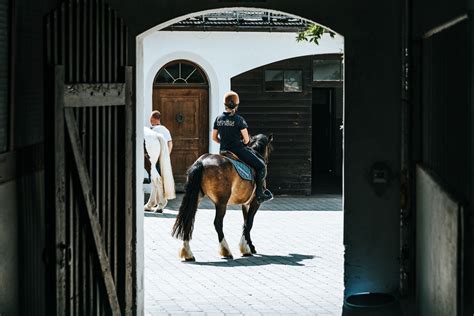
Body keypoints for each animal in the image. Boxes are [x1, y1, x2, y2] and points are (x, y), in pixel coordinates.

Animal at [170, 132, 274, 260]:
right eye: (270, 149)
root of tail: (201, 162)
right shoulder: (255, 202)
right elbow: (249, 223)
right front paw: (246, 248)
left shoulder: (245, 204)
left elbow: (245, 223)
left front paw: (249, 246)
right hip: (221, 203)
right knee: (217, 223)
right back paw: (226, 251)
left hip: (195, 197)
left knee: (188, 218)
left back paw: (188, 253)